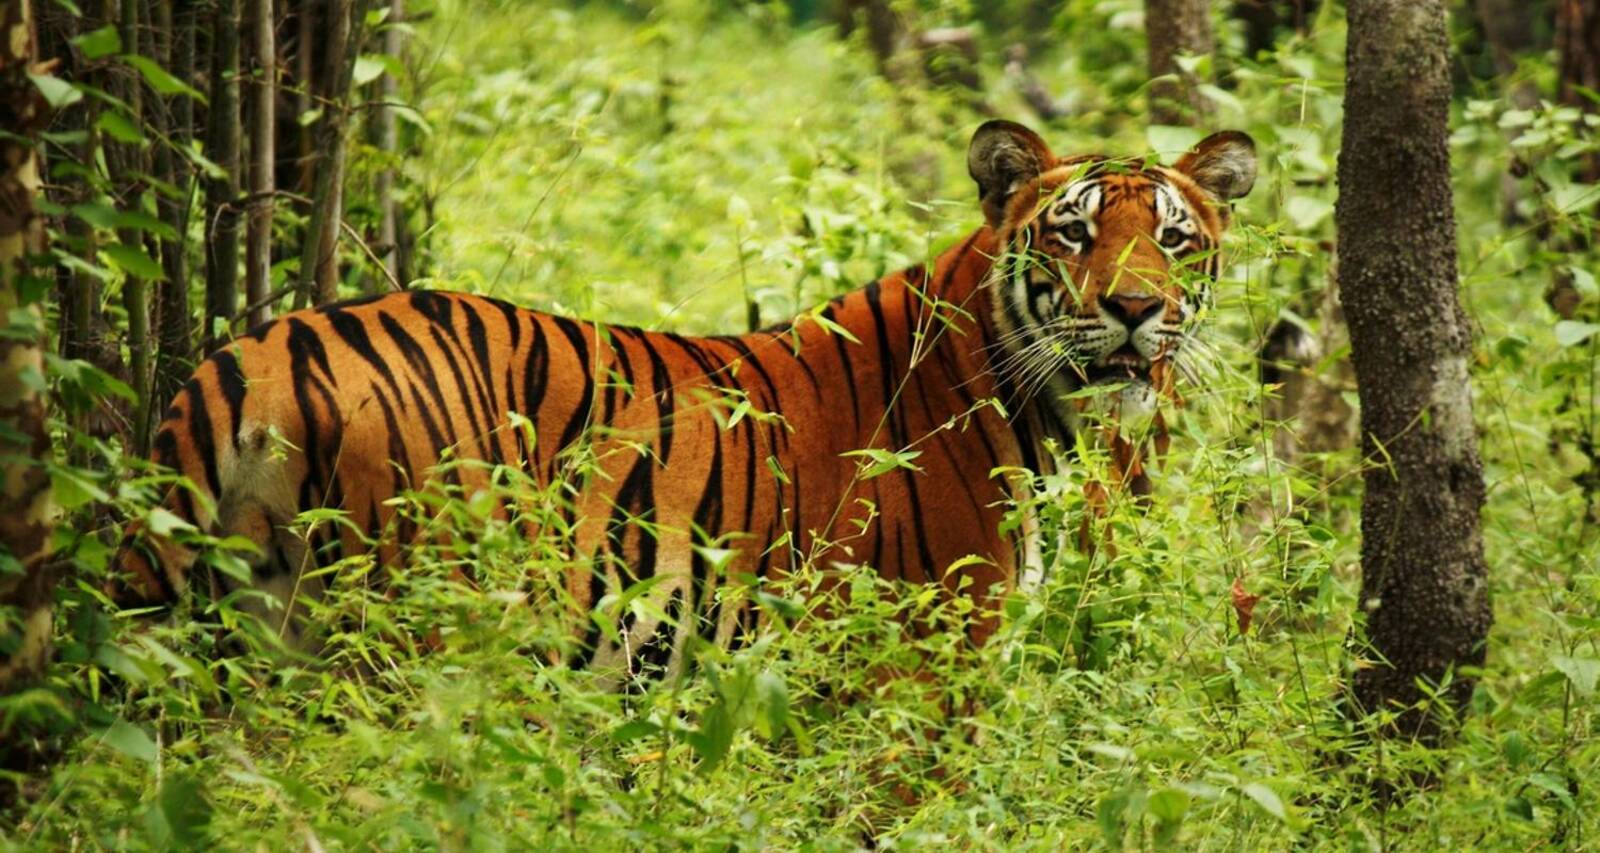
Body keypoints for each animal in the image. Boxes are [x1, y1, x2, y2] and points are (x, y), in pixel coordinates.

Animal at [112, 118, 1254, 678]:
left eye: (1173, 237)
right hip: (411, 630)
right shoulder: (923, 667)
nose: (1137, 309)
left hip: (250, 630)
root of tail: (260, 349)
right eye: (1072, 232)